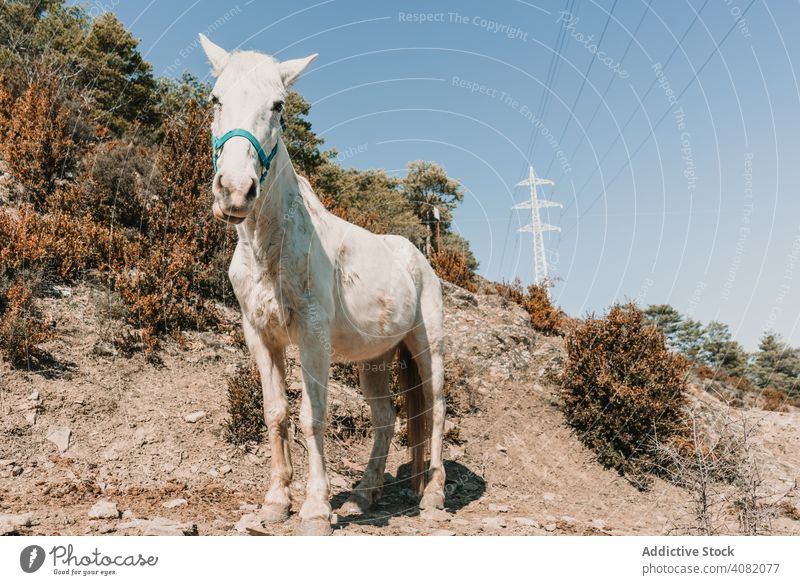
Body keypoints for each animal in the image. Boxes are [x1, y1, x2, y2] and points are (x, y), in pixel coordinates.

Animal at [198, 33, 450, 532]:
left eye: (278, 105)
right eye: (216, 99)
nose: (235, 191)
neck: (270, 247)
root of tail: (420, 258)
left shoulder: (313, 335)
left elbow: (313, 416)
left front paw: (315, 508)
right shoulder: (260, 335)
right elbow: (276, 412)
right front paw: (276, 501)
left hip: (425, 344)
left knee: (435, 408)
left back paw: (432, 494)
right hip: (376, 359)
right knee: (386, 418)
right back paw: (364, 495)